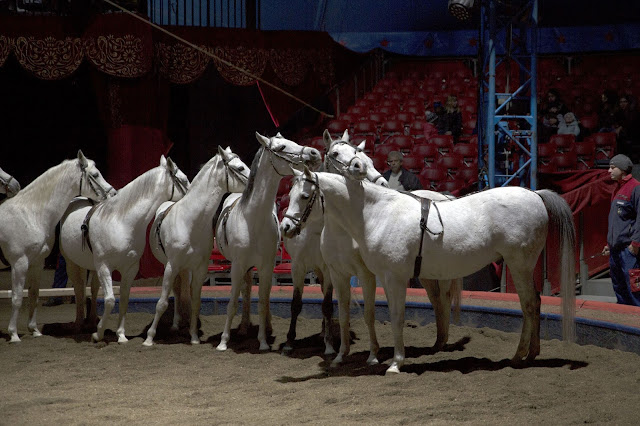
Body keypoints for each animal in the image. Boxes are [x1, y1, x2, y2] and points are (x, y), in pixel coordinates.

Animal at [0, 152, 115, 342]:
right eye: (95, 174)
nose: (113, 193)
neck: (30, 214)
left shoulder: (37, 262)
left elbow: (34, 294)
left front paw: (35, 330)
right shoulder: (19, 263)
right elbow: (17, 298)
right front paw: (14, 334)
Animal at [59, 156, 190, 342]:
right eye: (184, 180)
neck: (122, 222)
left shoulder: (130, 268)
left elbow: (124, 299)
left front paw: (121, 335)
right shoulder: (105, 266)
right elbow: (109, 300)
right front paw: (98, 333)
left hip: (93, 267)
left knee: (93, 288)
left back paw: (90, 321)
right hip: (72, 263)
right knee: (78, 288)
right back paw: (79, 324)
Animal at [144, 146, 251, 346]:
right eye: (240, 168)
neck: (191, 221)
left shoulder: (200, 268)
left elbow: (195, 301)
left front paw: (194, 337)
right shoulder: (171, 265)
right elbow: (162, 302)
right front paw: (149, 338)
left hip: (185, 268)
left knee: (181, 292)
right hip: (172, 266)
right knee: (175, 291)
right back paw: (175, 325)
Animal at [214, 131, 320, 352]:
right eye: (281, 147)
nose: (314, 153)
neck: (252, 219)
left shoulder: (266, 265)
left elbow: (263, 301)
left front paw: (263, 341)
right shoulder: (237, 265)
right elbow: (232, 302)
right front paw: (223, 341)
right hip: (244, 266)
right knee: (245, 290)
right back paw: (243, 328)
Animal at [282, 168, 576, 374]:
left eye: (305, 196)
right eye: (289, 195)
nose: (285, 228)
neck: (377, 214)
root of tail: (536, 195)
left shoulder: (394, 278)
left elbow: (397, 317)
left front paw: (396, 363)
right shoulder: (380, 278)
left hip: (519, 264)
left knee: (528, 304)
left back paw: (518, 357)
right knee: (534, 303)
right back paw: (530, 354)